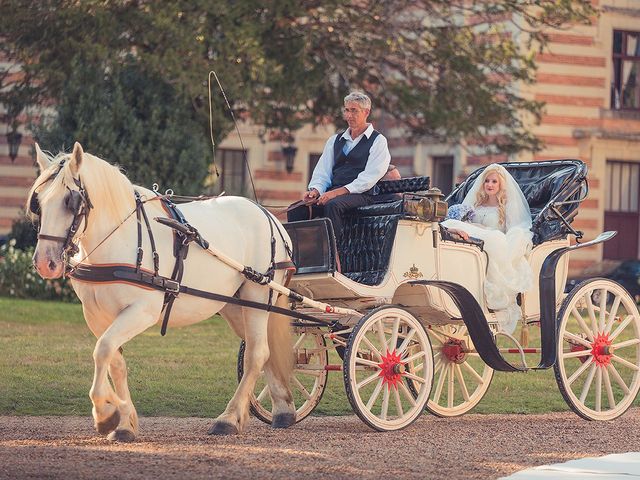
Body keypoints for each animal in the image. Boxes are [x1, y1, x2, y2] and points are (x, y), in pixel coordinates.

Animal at [29, 142, 296, 442]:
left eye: (70, 201)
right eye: (38, 203)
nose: (45, 263)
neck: (118, 237)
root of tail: (269, 215)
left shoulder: (142, 311)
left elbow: (103, 350)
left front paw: (105, 413)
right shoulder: (96, 315)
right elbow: (114, 360)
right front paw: (124, 423)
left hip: (257, 297)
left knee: (255, 354)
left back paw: (228, 418)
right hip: (234, 305)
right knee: (263, 350)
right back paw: (283, 409)